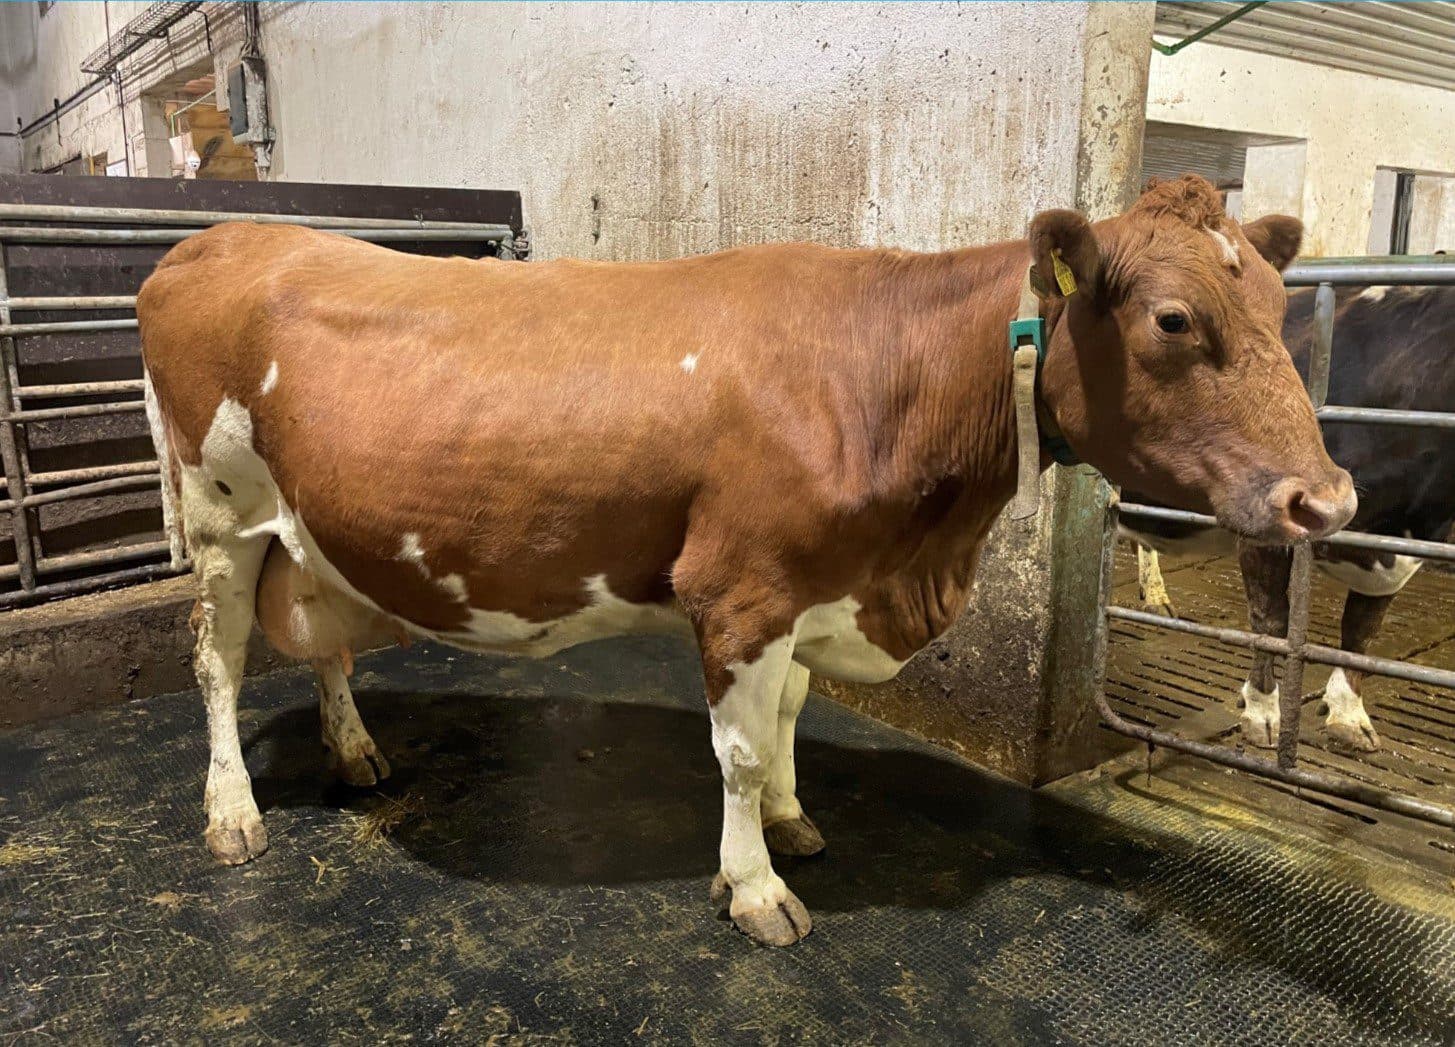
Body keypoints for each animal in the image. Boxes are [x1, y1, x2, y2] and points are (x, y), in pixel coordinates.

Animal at [137, 175, 1353, 947]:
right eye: (1172, 319)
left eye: (1276, 303)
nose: (1327, 498)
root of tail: (222, 236)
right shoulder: (742, 590)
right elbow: (737, 749)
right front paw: (755, 885)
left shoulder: (815, 587)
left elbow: (788, 720)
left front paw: (788, 821)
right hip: (218, 518)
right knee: (216, 663)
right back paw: (231, 810)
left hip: (308, 529)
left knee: (323, 643)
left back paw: (352, 750)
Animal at [1124, 282, 1455, 754]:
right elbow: (1270, 620)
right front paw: (1262, 711)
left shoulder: (1396, 547)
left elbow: (1362, 629)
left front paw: (1348, 714)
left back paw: (1154, 595)